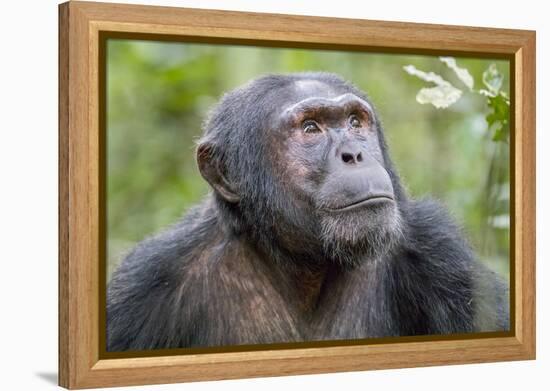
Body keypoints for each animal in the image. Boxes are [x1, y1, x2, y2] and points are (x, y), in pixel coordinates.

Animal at [105, 71, 512, 352]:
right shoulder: (143, 287)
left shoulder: (442, 255)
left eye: (354, 122)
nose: (353, 153)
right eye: (311, 128)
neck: (305, 264)